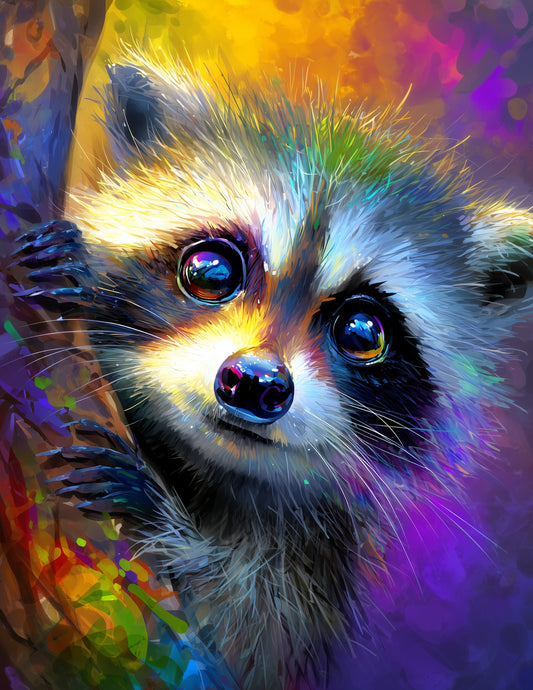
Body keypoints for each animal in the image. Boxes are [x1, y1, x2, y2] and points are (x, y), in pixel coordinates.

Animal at [15, 50, 533, 689]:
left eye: (364, 332)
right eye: (211, 271)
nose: (255, 383)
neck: (209, 470)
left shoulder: (309, 577)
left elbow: (250, 638)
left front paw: (174, 534)